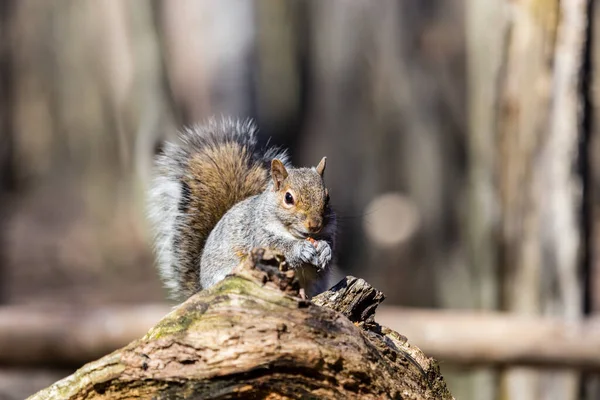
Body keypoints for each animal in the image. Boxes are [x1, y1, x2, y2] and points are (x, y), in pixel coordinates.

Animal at [144, 117, 332, 302]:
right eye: (288, 198)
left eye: (327, 198)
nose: (315, 225)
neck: (293, 234)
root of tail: (202, 290)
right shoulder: (259, 236)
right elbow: (279, 248)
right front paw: (300, 249)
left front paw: (325, 249)